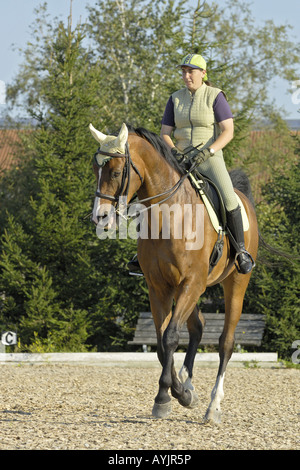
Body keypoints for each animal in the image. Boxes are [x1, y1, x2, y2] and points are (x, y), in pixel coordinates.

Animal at [88, 121, 258, 422]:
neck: (169, 216)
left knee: (226, 342)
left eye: (117, 172)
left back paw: (213, 406)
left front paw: (167, 395)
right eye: (95, 171)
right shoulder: (159, 287)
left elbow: (169, 338)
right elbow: (160, 342)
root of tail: (243, 198)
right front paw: (178, 392)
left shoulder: (191, 282)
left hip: (235, 282)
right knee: (198, 327)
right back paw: (188, 384)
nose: (100, 218)